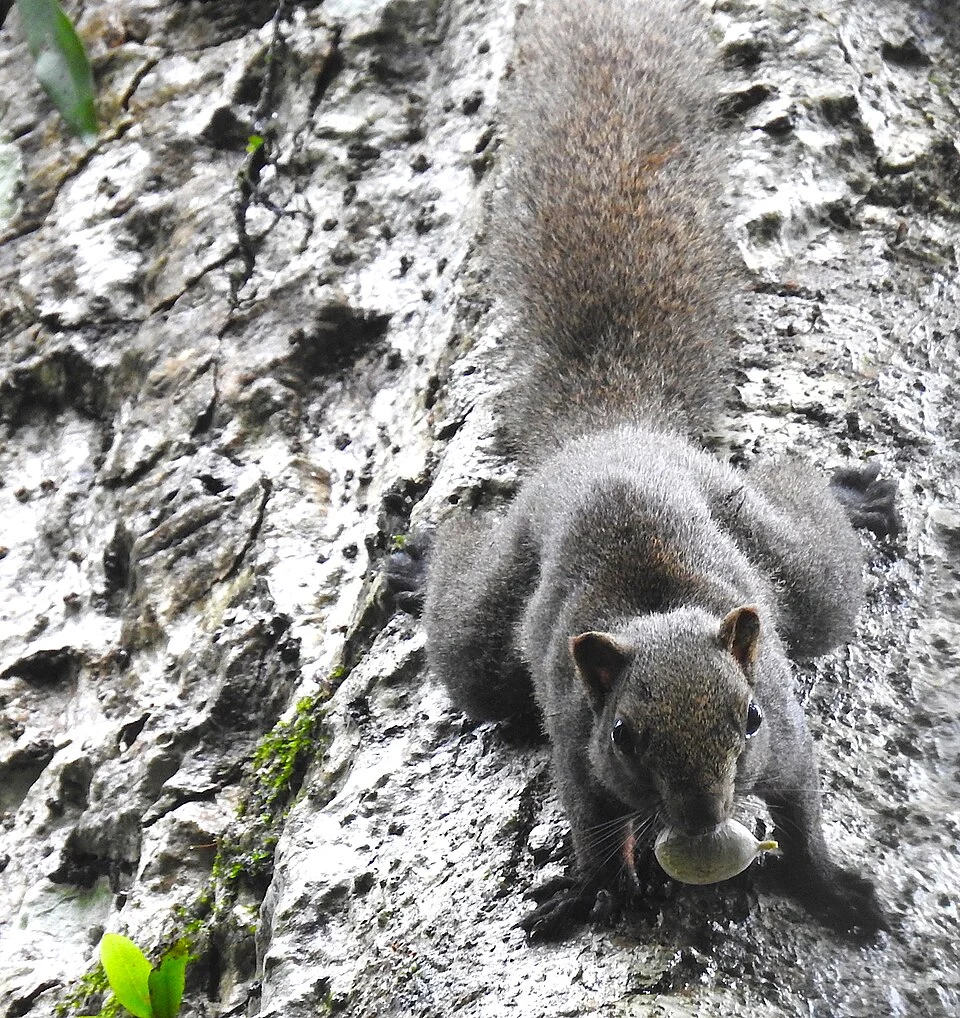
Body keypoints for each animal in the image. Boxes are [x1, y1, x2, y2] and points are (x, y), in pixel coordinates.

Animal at [389, 0, 899, 937]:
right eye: (626, 735)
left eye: (750, 717)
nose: (702, 820)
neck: (657, 612)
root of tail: (615, 432)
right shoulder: (574, 736)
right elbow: (591, 824)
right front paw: (588, 888)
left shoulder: (788, 732)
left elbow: (805, 810)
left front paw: (830, 886)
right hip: (492, 623)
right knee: (468, 625)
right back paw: (423, 560)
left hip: (786, 562)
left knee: (812, 541)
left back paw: (851, 494)